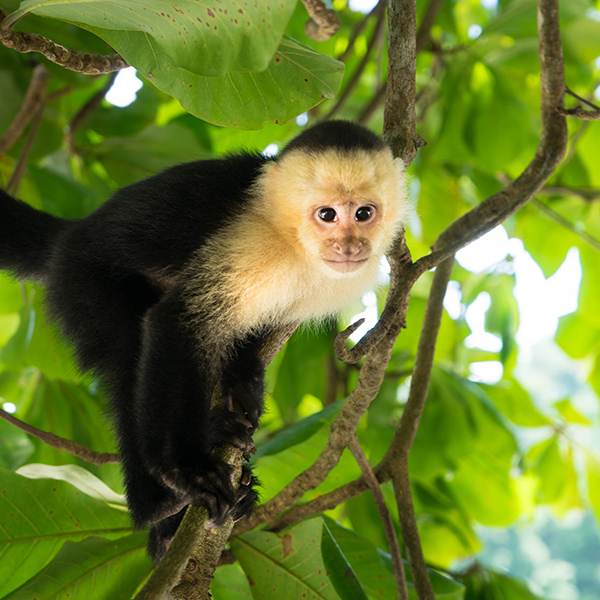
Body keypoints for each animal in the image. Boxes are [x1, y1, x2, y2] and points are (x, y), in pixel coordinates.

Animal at [0, 120, 408, 564]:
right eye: (327, 215)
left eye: (364, 213)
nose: (349, 245)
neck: (293, 241)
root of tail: (72, 233)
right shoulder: (253, 242)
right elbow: (181, 321)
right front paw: (188, 470)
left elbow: (252, 329)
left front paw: (241, 380)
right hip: (83, 282)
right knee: (128, 357)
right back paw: (158, 510)